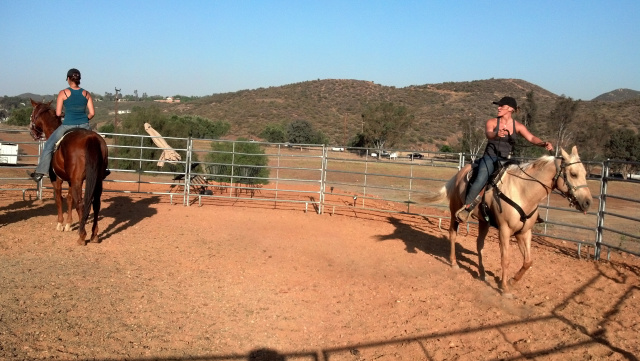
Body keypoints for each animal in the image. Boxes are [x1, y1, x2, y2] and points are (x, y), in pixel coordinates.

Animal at [29, 99, 109, 245]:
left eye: (32, 115)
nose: (33, 133)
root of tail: (91, 139)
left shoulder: (57, 179)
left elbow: (59, 198)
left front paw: (60, 224)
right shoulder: (71, 181)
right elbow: (69, 199)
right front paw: (68, 224)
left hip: (78, 180)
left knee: (81, 203)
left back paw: (82, 235)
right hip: (97, 180)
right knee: (96, 203)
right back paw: (94, 235)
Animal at [424, 146, 596, 296]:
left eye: (584, 173)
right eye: (573, 174)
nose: (588, 202)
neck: (523, 191)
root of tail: (459, 174)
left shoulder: (524, 232)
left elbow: (528, 261)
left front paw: (512, 281)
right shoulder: (505, 230)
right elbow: (505, 259)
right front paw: (505, 288)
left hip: (484, 221)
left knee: (480, 245)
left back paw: (482, 273)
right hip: (455, 212)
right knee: (453, 234)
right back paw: (454, 263)